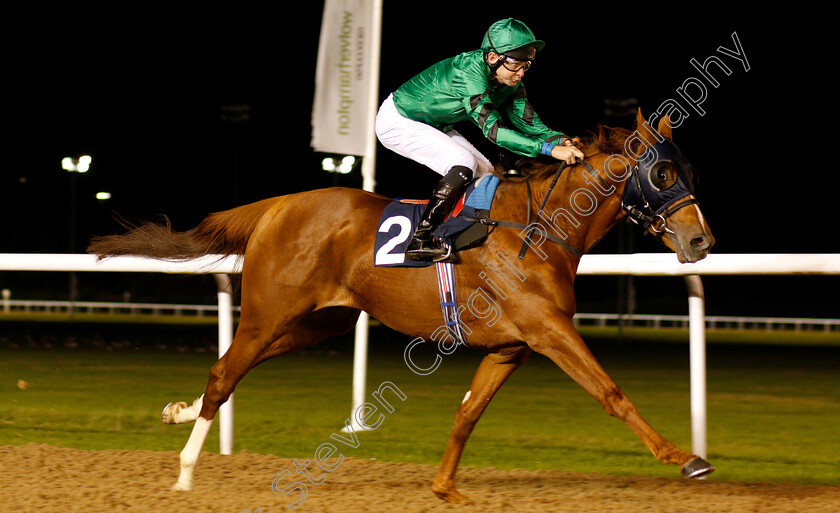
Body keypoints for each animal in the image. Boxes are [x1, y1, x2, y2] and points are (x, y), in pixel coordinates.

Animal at [87, 111, 716, 500]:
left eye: (688, 169)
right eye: (662, 171)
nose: (701, 241)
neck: (539, 231)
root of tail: (279, 204)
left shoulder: (512, 346)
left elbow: (467, 413)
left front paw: (444, 486)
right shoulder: (548, 330)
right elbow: (611, 392)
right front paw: (686, 458)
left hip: (322, 322)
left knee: (236, 371)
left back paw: (178, 411)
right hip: (270, 311)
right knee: (225, 371)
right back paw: (186, 473)